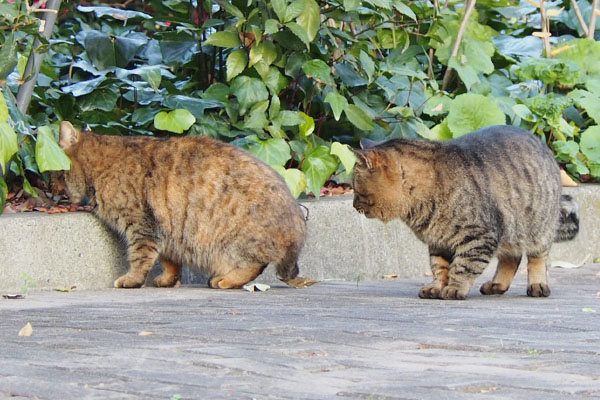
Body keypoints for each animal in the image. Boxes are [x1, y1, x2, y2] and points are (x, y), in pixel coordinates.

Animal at [52, 120, 308, 290]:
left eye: (54, 173)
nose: (52, 192)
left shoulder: (141, 226)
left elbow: (139, 256)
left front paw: (132, 279)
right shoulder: (167, 230)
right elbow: (169, 260)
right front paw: (169, 279)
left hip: (236, 242)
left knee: (255, 264)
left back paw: (227, 280)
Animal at [354, 125, 580, 300]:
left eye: (356, 189)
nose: (354, 205)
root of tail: (542, 144)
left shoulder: (479, 236)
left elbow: (463, 266)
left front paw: (454, 288)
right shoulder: (438, 242)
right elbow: (440, 267)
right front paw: (437, 287)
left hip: (537, 227)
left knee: (537, 258)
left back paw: (537, 285)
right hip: (510, 231)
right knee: (511, 258)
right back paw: (497, 285)